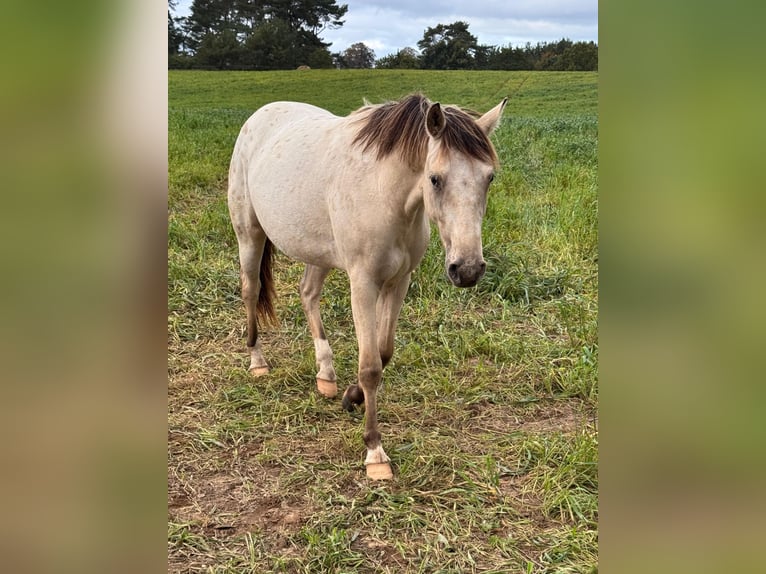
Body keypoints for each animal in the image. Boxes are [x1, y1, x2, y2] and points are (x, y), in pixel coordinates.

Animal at [227, 93, 507, 480]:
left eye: (489, 177)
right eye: (435, 179)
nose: (466, 269)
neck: (384, 194)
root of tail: (261, 114)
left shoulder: (399, 282)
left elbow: (384, 351)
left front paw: (352, 396)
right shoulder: (363, 284)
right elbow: (371, 366)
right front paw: (375, 452)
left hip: (318, 252)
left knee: (308, 293)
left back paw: (326, 375)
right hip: (249, 234)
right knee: (251, 290)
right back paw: (258, 361)